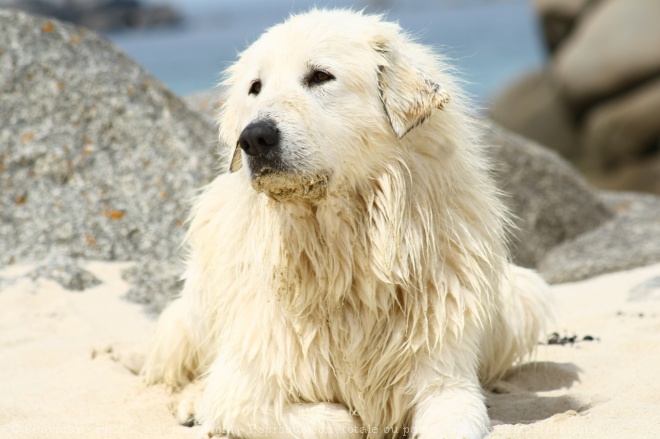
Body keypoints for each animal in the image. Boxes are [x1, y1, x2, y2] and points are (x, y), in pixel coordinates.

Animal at [143, 7, 552, 439]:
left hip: (525, 293)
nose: (253, 137)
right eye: (255, 87)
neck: (344, 254)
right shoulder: (245, 388)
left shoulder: (447, 382)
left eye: (320, 76)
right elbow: (339, 421)